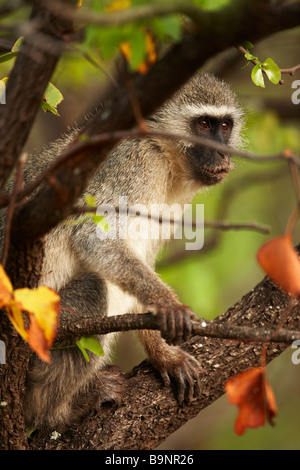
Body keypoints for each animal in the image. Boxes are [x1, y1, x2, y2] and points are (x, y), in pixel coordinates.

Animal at [0, 73, 244, 430]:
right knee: (93, 289)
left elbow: (141, 258)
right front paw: (168, 305)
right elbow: (95, 239)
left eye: (224, 126)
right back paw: (53, 412)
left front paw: (164, 355)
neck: (162, 153)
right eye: (203, 124)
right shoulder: (130, 165)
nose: (222, 154)